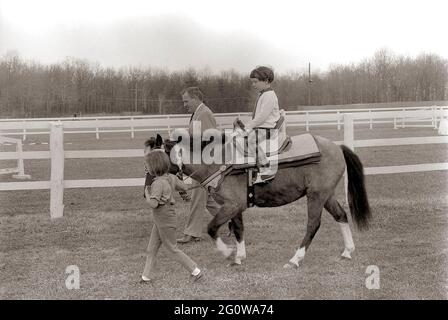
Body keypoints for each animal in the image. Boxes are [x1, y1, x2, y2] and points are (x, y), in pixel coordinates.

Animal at [147, 131, 372, 268]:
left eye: (154, 160)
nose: (149, 187)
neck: (220, 163)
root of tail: (337, 147)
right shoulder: (235, 207)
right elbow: (238, 229)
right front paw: (238, 257)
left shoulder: (231, 205)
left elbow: (211, 228)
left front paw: (228, 253)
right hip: (326, 195)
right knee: (341, 215)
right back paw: (347, 251)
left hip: (316, 196)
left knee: (313, 225)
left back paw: (295, 259)